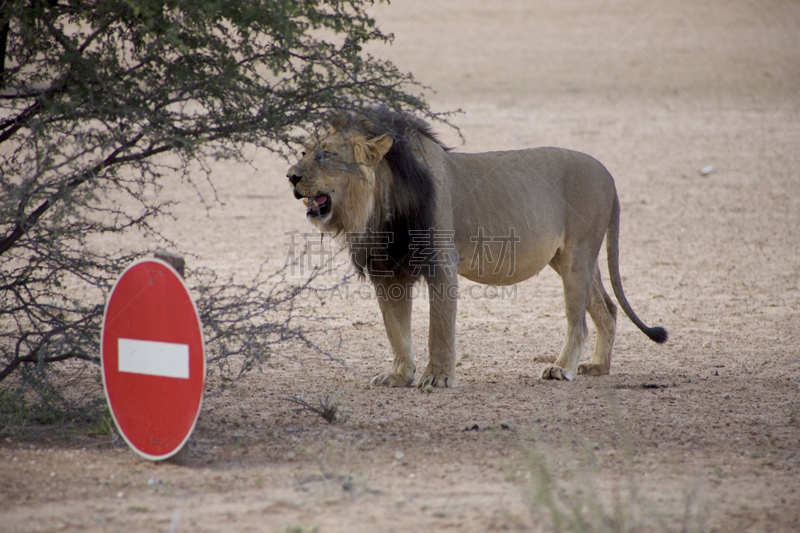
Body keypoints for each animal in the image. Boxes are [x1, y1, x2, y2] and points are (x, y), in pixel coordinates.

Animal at [284, 107, 664, 386]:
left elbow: (438, 327)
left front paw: (437, 378)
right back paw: (598, 367)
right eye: (303, 151)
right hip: (570, 259)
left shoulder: (441, 263)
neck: (376, 206)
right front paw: (399, 375)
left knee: (579, 321)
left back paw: (562, 368)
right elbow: (396, 329)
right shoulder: (387, 271)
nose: (291, 176)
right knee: (607, 309)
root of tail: (609, 175)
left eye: (327, 154)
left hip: (577, 255)